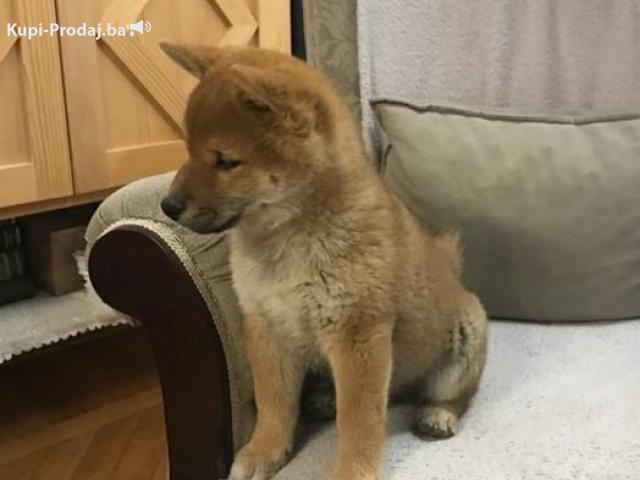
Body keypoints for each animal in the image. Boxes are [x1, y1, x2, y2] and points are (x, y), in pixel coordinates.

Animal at [159, 43, 488, 480]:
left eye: (226, 161)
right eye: (188, 151)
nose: (168, 206)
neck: (287, 239)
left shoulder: (357, 333)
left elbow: (360, 422)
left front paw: (353, 472)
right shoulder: (265, 325)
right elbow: (274, 404)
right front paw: (263, 452)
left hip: (466, 337)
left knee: (450, 395)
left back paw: (438, 414)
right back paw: (326, 400)